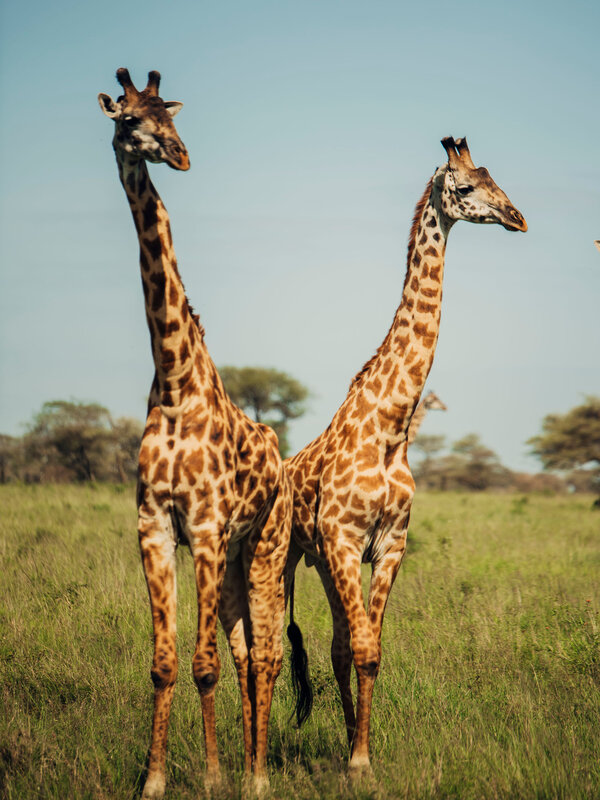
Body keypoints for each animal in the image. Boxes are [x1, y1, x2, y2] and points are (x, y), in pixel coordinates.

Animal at [98, 69, 292, 798]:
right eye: (129, 120)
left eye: (171, 116)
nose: (179, 156)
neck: (176, 380)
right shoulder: (155, 526)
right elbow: (166, 662)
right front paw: (154, 781)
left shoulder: (206, 530)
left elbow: (203, 663)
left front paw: (210, 777)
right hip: (236, 564)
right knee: (244, 656)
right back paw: (248, 762)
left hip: (264, 550)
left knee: (264, 657)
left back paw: (256, 776)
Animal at [285, 137, 526, 773]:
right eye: (464, 187)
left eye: (494, 177)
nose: (517, 217)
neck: (390, 430)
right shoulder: (345, 540)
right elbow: (363, 648)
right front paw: (359, 760)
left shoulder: (389, 545)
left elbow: (370, 649)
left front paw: (360, 752)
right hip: (291, 554)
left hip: (323, 563)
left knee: (339, 646)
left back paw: (347, 733)